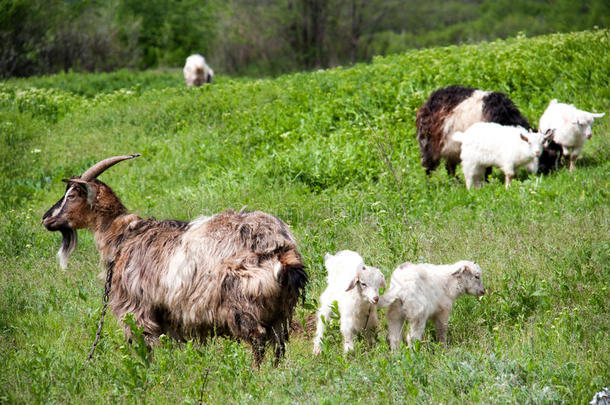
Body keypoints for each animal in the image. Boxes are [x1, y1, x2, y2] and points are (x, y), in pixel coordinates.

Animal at [42, 154, 306, 362]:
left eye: (72, 195)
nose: (46, 218)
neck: (122, 236)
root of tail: (280, 247)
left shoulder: (136, 307)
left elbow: (146, 348)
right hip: (280, 310)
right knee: (279, 344)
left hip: (242, 302)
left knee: (258, 339)